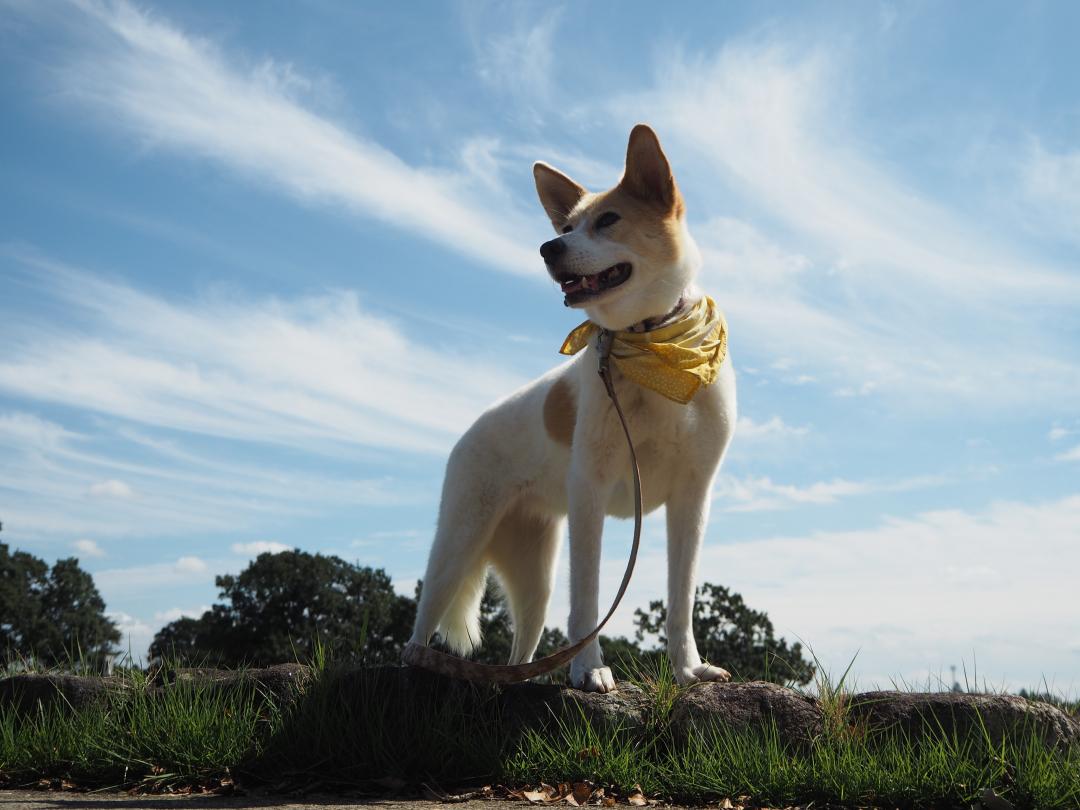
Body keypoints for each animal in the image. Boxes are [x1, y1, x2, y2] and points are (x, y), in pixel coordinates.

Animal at [408, 123, 738, 695]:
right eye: (565, 225)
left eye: (608, 220)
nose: (547, 247)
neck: (650, 346)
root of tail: (470, 431)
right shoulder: (591, 491)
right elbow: (587, 598)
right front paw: (589, 670)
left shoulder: (692, 499)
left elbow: (681, 600)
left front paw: (689, 670)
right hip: (457, 544)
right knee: (422, 623)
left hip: (534, 573)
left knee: (523, 643)